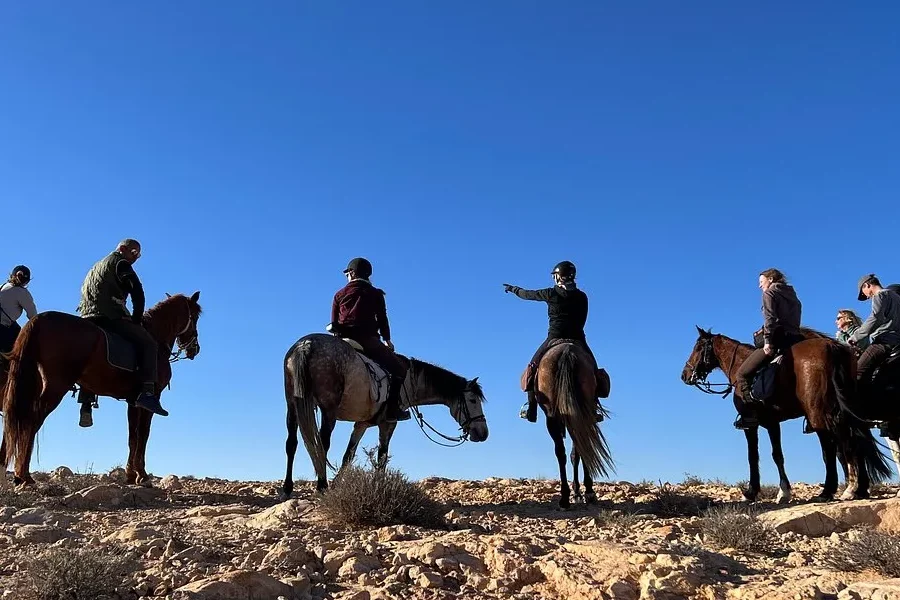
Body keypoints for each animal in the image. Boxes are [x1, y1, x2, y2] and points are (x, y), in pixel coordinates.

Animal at [1, 292, 201, 488]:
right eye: (195, 316)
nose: (195, 348)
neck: (156, 338)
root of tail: (39, 320)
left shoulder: (133, 402)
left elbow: (133, 437)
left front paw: (131, 475)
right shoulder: (150, 400)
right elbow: (143, 435)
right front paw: (142, 475)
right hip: (55, 388)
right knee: (31, 421)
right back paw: (24, 475)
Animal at [284, 332, 488, 496]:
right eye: (473, 400)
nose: (483, 433)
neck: (410, 382)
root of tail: (307, 344)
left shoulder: (362, 423)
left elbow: (348, 455)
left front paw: (337, 485)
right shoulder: (388, 423)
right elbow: (381, 457)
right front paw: (378, 486)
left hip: (292, 406)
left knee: (292, 443)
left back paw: (287, 488)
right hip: (328, 410)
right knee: (322, 444)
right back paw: (321, 486)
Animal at [532, 340, 616, 508]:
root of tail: (566, 351)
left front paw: (578, 492)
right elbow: (578, 453)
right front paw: (583, 492)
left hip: (555, 418)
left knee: (561, 452)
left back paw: (565, 497)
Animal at [684, 326, 892, 504]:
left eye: (698, 347)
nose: (684, 374)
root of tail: (831, 347)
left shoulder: (751, 424)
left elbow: (753, 456)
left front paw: (753, 492)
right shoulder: (772, 423)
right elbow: (778, 455)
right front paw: (784, 491)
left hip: (818, 413)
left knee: (832, 447)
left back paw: (830, 490)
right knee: (853, 441)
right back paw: (859, 489)